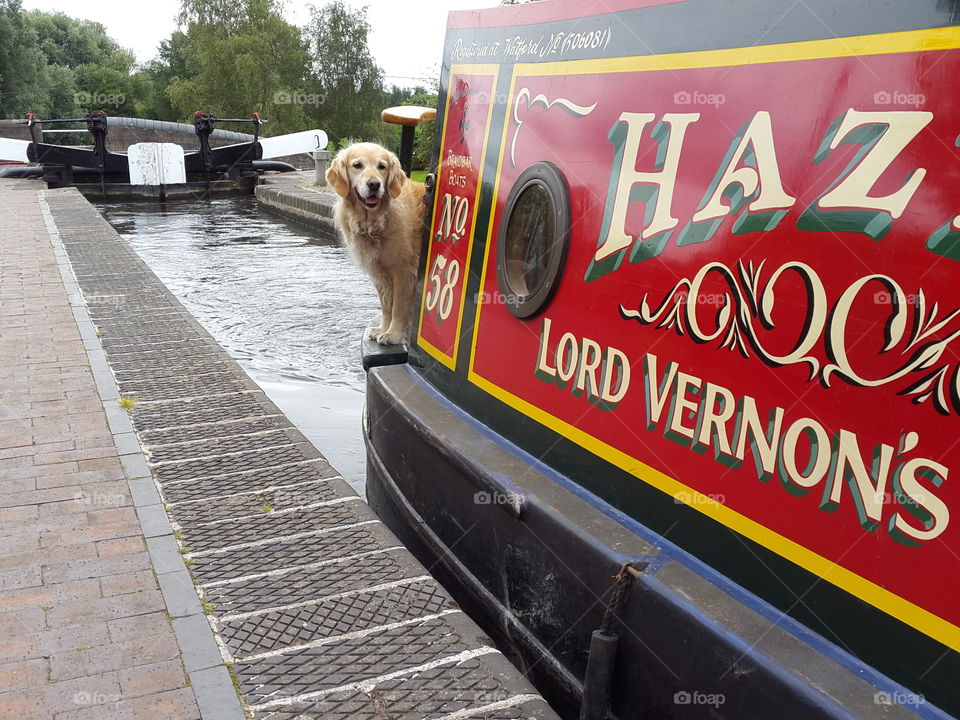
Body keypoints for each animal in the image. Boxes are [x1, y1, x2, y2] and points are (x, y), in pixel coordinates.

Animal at [326, 142, 424, 344]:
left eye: (382, 166)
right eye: (357, 165)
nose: (374, 184)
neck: (374, 222)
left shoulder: (404, 271)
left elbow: (398, 307)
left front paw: (393, 334)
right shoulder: (378, 272)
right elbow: (386, 306)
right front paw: (382, 329)